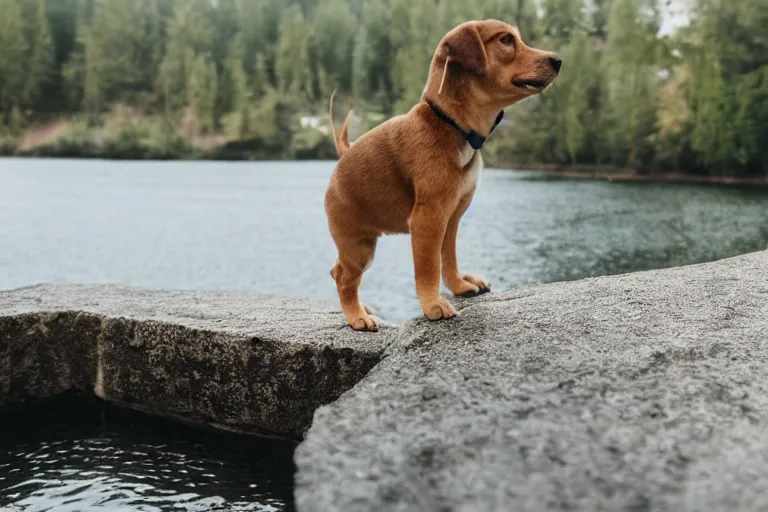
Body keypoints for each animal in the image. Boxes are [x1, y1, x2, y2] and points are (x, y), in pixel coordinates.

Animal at [326, 19, 564, 332]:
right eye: (506, 40)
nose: (558, 60)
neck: (452, 125)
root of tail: (343, 156)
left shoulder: (452, 217)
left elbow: (448, 257)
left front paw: (459, 285)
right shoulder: (429, 218)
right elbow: (429, 266)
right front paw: (432, 304)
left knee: (336, 270)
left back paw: (361, 308)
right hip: (359, 246)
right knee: (344, 279)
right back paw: (356, 317)